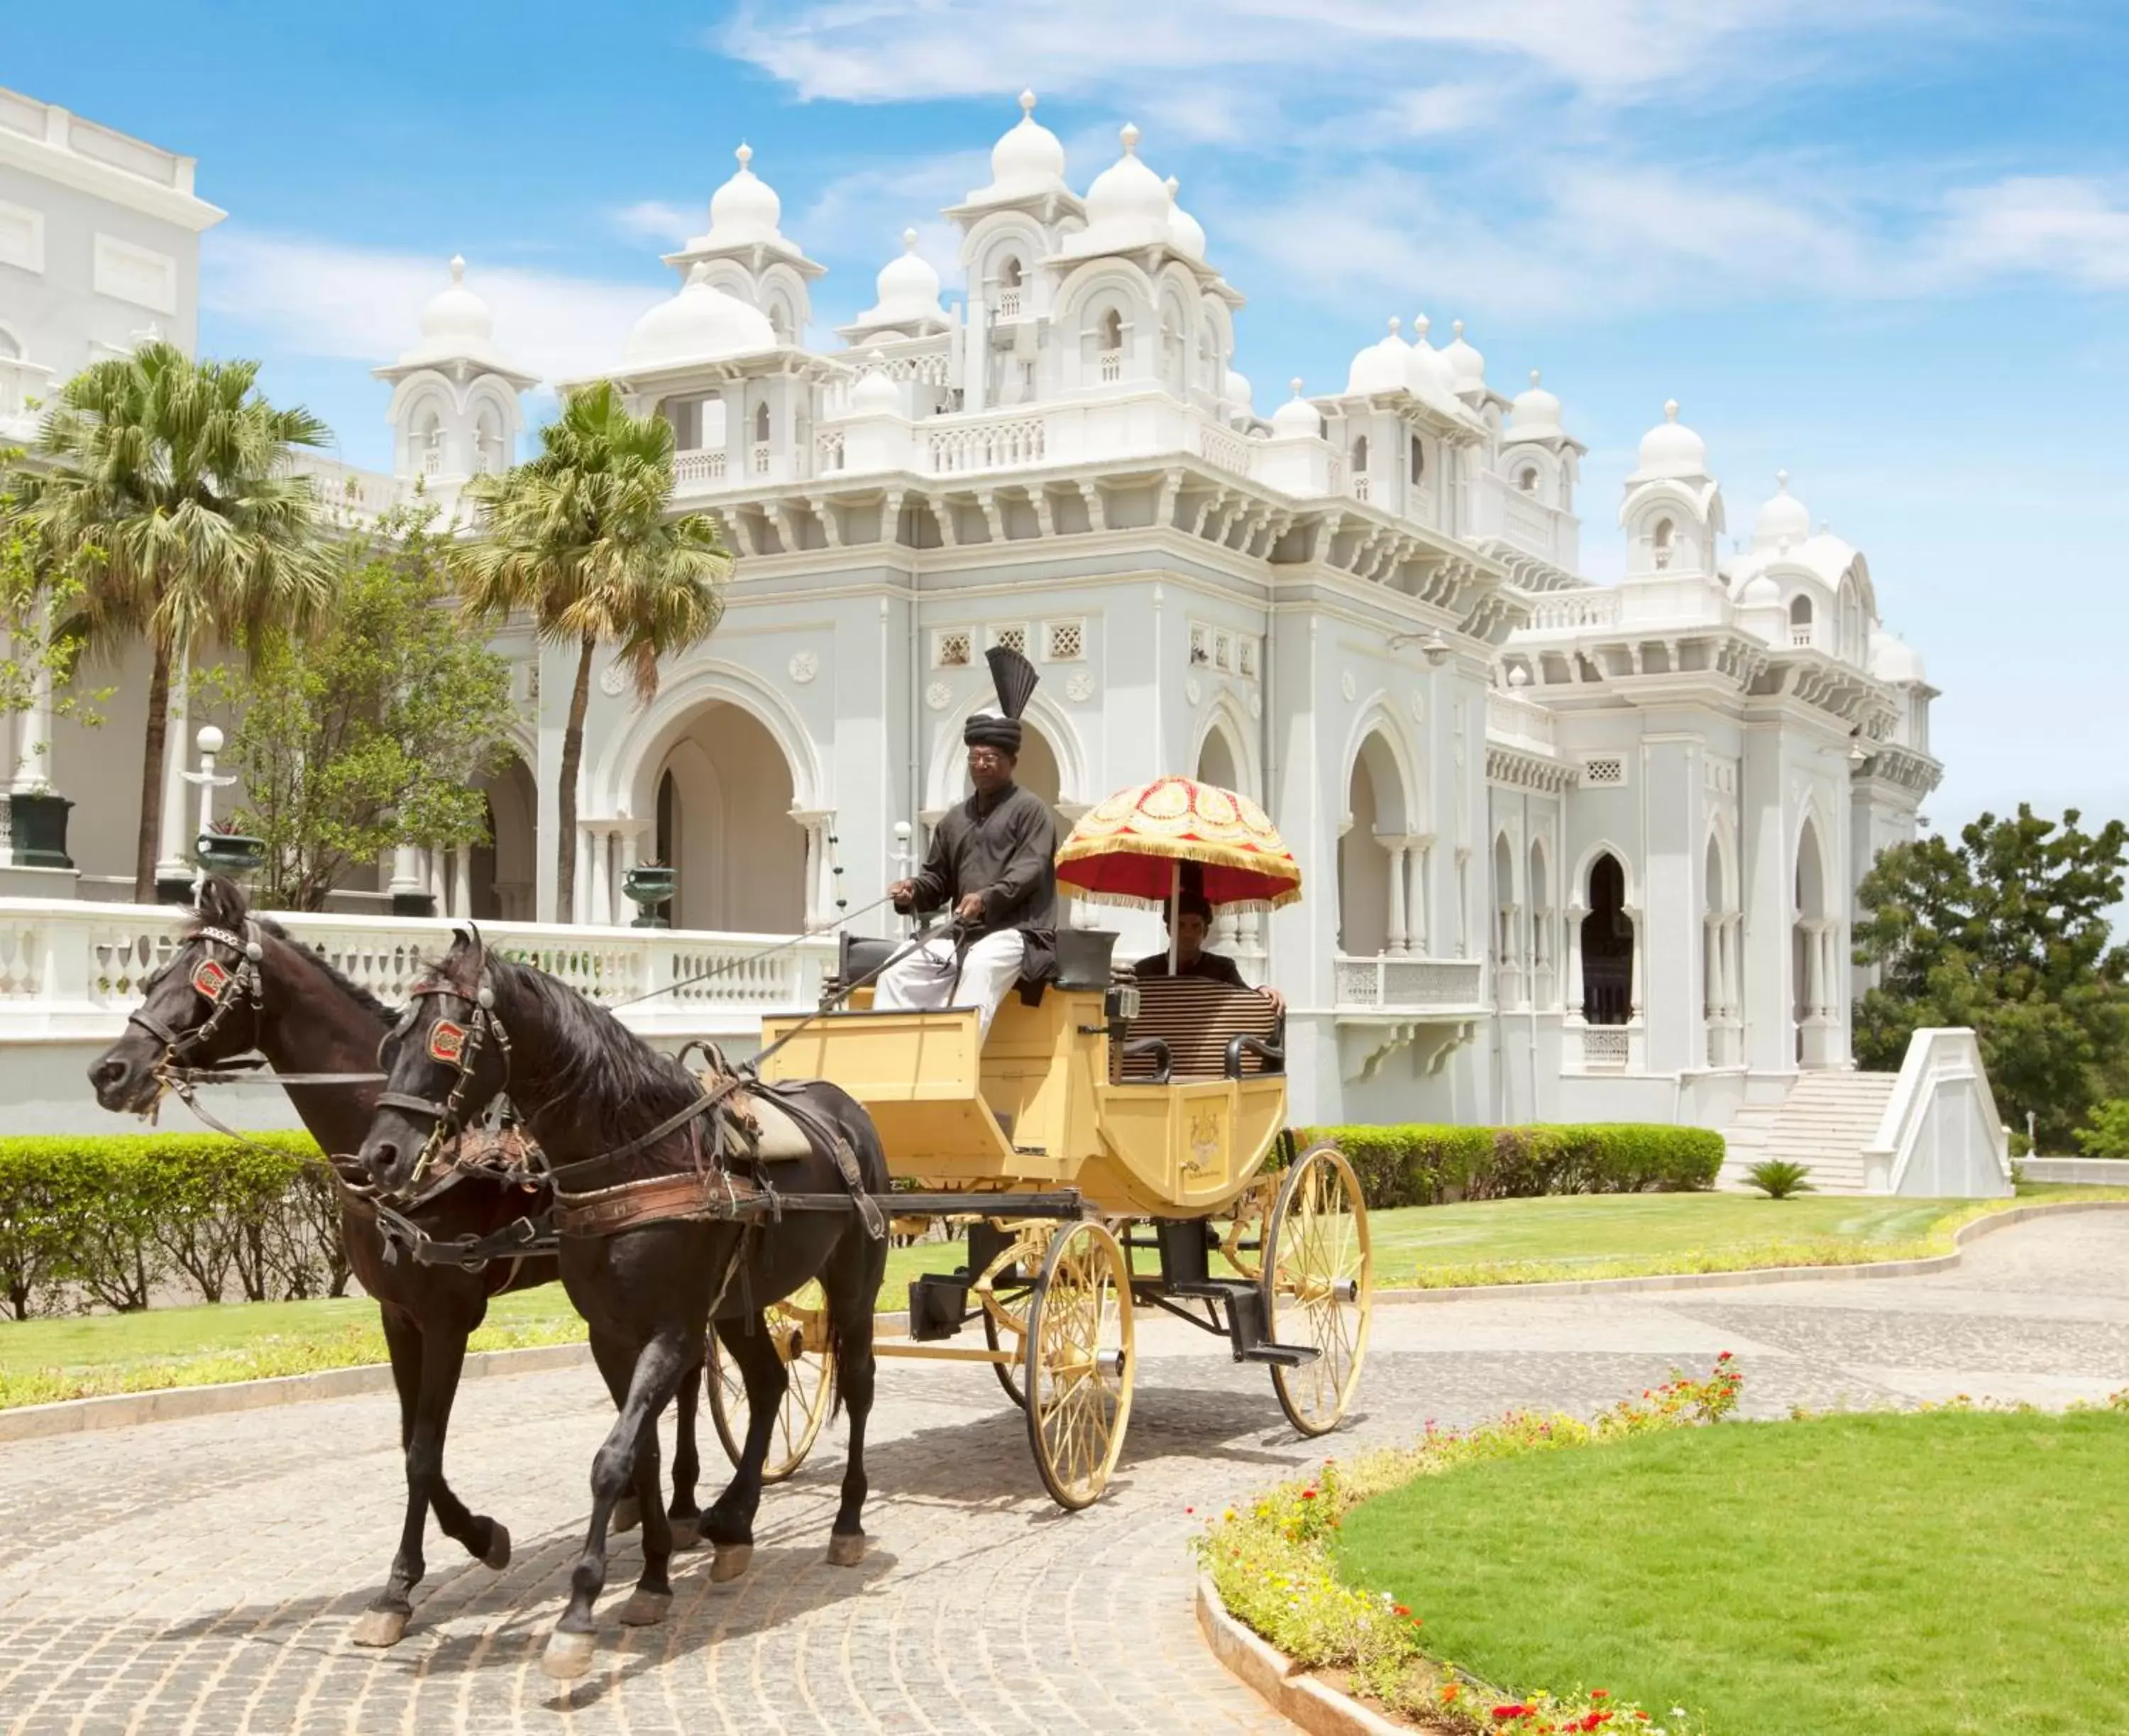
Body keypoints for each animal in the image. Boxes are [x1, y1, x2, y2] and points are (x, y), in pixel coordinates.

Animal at [85, 877, 715, 1652]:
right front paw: (462, 1545)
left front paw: (425, 1569)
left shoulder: (449, 1317)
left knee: (691, 1375)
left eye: (204, 980)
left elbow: (423, 1449)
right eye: (152, 976)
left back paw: (681, 1506)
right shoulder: (397, 1315)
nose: (110, 1071)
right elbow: (410, 1440)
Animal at [353, 937, 886, 1686]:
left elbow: (613, 1458)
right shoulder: (611, 1335)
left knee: (859, 1386)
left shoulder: (671, 1331)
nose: (381, 1155)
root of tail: (844, 1108)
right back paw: (736, 1522)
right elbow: (644, 1453)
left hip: (855, 1281)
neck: (635, 1158)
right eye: (393, 1038)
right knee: (767, 1382)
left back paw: (846, 1523)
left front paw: (579, 1614)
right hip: (735, 1306)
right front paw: (655, 1577)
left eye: (447, 1040)